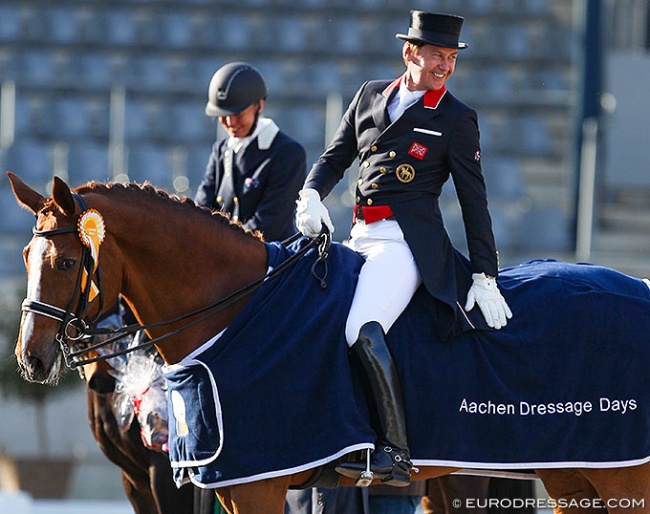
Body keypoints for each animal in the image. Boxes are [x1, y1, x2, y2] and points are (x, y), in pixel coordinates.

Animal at [8, 173, 648, 512]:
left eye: (66, 262)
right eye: (26, 256)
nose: (30, 359)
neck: (238, 312)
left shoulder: (253, 487)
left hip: (619, 474)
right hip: (571, 476)